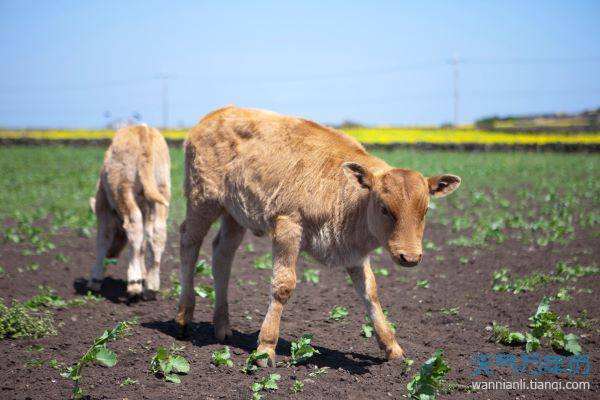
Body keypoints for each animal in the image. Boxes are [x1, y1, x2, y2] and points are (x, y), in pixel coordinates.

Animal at [90, 123, 172, 302]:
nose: (112, 254)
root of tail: (143, 130)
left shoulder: (103, 209)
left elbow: (102, 240)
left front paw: (95, 280)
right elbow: (143, 244)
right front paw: (143, 275)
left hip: (123, 189)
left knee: (134, 225)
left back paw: (134, 284)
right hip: (162, 189)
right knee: (158, 232)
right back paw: (151, 286)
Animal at [176, 107, 462, 366]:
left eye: (425, 210)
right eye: (384, 208)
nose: (410, 257)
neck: (348, 195)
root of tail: (212, 116)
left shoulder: (354, 253)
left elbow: (370, 291)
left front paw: (393, 348)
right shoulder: (288, 228)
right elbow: (283, 285)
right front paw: (265, 349)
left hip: (234, 216)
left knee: (222, 255)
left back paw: (222, 327)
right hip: (203, 201)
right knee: (188, 243)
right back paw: (183, 317)